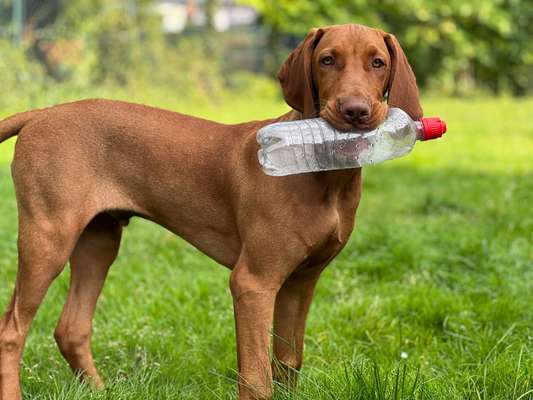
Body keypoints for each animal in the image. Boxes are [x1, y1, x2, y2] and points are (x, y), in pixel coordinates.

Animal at [0, 23, 420, 398]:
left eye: (378, 63)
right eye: (327, 60)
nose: (355, 111)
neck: (324, 172)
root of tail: (40, 113)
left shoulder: (301, 282)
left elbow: (288, 360)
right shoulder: (253, 283)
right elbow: (256, 375)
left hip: (98, 242)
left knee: (70, 328)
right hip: (48, 239)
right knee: (12, 330)